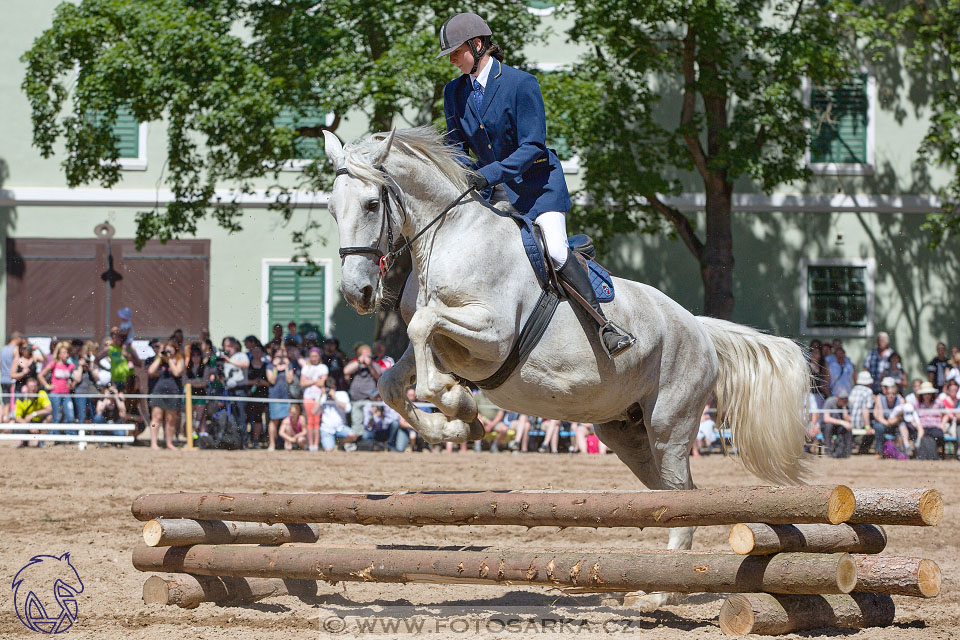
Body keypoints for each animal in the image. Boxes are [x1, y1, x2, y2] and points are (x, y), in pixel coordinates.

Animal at [322, 125, 808, 608]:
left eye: (371, 204)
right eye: (330, 207)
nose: (357, 293)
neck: (445, 241)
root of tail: (699, 327)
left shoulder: (493, 334)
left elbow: (425, 337)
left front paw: (458, 403)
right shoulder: (429, 345)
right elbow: (394, 379)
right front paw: (457, 424)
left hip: (669, 423)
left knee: (682, 494)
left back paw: (659, 594)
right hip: (625, 433)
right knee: (671, 495)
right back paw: (662, 583)